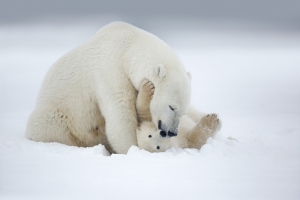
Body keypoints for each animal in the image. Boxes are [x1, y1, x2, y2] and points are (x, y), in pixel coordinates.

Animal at [25, 21, 190, 154]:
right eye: (172, 107)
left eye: (183, 111)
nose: (172, 132)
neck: (128, 47)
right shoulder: (110, 71)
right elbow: (120, 114)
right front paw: (133, 149)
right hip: (58, 115)